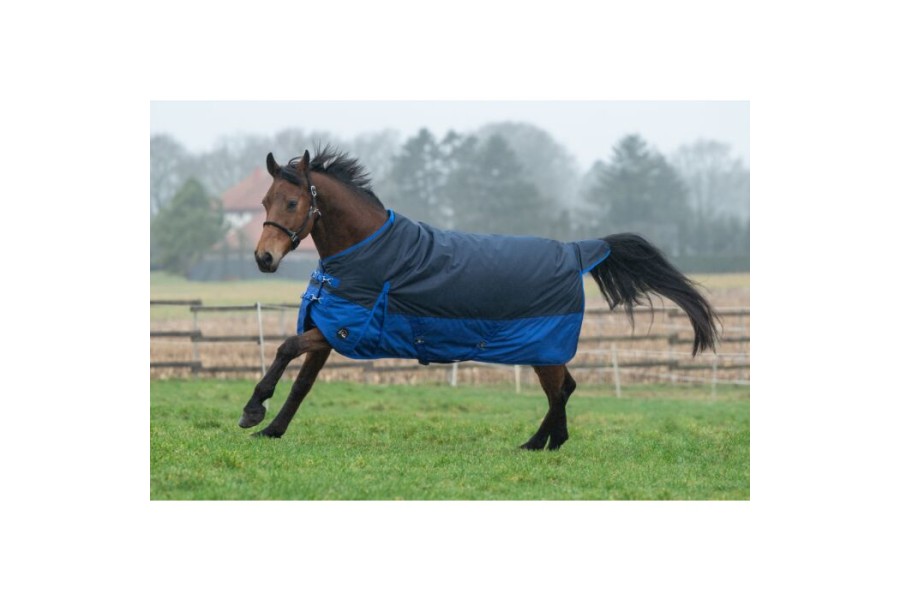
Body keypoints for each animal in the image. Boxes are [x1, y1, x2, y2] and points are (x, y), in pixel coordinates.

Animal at [238, 146, 720, 450]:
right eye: (264, 200)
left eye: (293, 202)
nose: (263, 258)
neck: (367, 252)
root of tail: (575, 251)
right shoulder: (329, 329)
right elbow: (301, 383)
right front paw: (271, 429)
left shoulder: (344, 330)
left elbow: (284, 349)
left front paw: (252, 410)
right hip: (542, 348)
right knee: (564, 388)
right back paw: (546, 442)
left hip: (542, 345)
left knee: (561, 389)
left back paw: (538, 443)